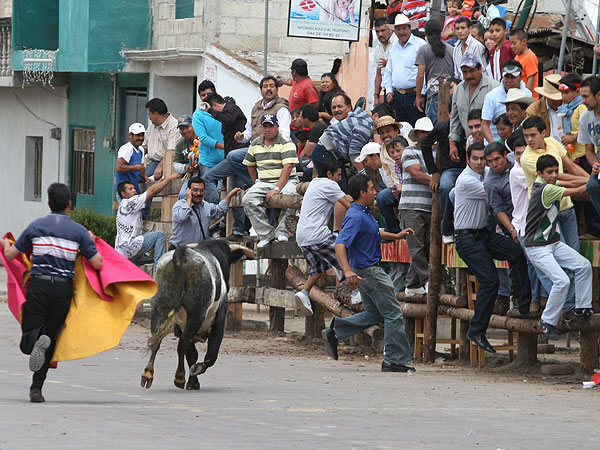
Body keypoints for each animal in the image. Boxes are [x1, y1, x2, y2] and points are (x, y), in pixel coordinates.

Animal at [141, 239, 255, 390]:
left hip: (160, 308)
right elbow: (211, 355)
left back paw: (148, 374)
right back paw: (179, 377)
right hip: (197, 314)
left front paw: (193, 381)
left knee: (156, 341)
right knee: (182, 343)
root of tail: (180, 254)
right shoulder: (218, 325)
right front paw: (196, 372)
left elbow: (192, 355)